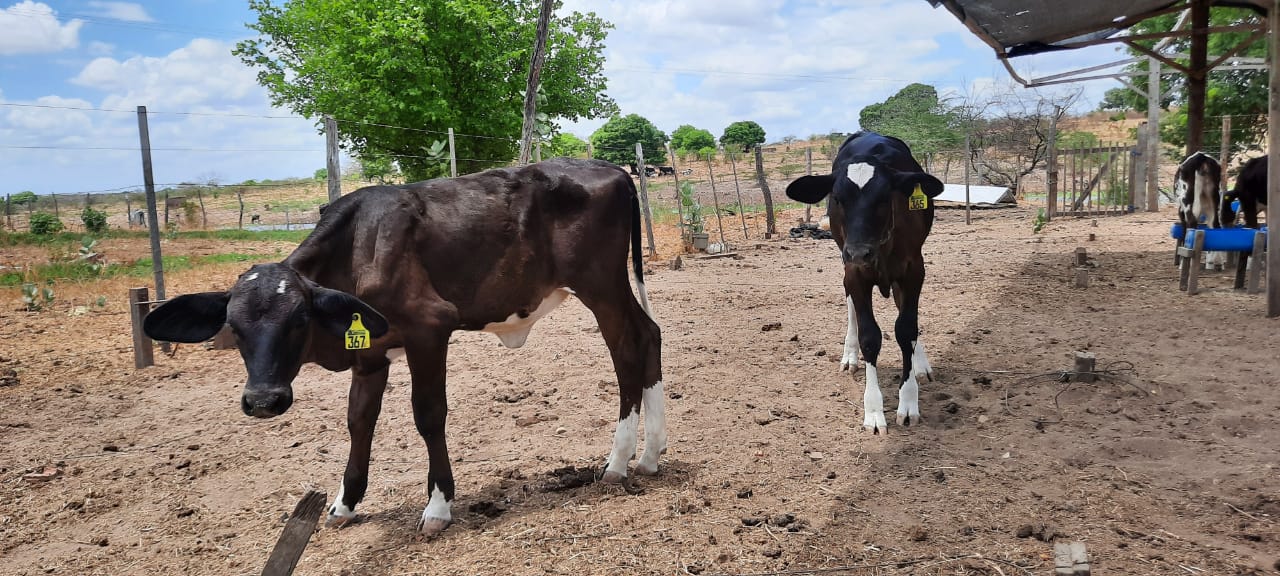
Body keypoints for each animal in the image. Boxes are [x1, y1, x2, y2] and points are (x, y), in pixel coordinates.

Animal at [144, 156, 665, 535]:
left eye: (299, 320)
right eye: (233, 326)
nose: (263, 401)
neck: (359, 246)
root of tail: (610, 166)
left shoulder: (429, 329)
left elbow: (428, 415)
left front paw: (437, 506)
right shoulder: (369, 351)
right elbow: (359, 419)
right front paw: (344, 502)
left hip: (600, 285)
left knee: (626, 348)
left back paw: (618, 462)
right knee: (650, 335)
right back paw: (650, 456)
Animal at [783, 131, 947, 432]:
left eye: (884, 197)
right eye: (837, 198)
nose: (860, 251)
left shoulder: (914, 270)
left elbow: (906, 328)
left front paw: (909, 400)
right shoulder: (854, 271)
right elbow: (869, 336)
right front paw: (873, 410)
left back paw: (920, 362)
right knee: (850, 305)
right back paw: (850, 354)